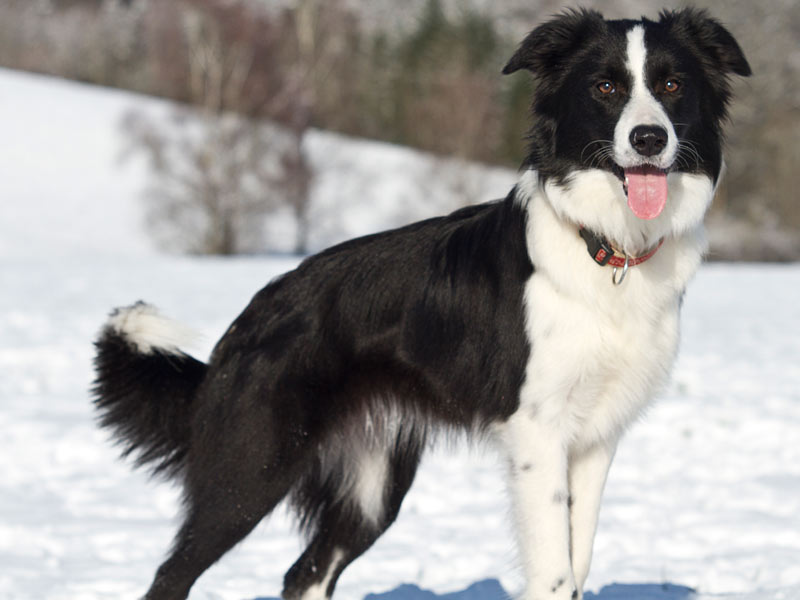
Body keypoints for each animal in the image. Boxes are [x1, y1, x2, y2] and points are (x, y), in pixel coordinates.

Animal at [92, 8, 752, 600]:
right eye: (606, 87)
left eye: (672, 86)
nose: (649, 139)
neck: (607, 248)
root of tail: (244, 325)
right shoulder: (538, 434)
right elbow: (554, 572)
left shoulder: (595, 438)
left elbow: (579, 560)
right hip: (250, 468)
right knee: (171, 576)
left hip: (371, 488)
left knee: (305, 574)